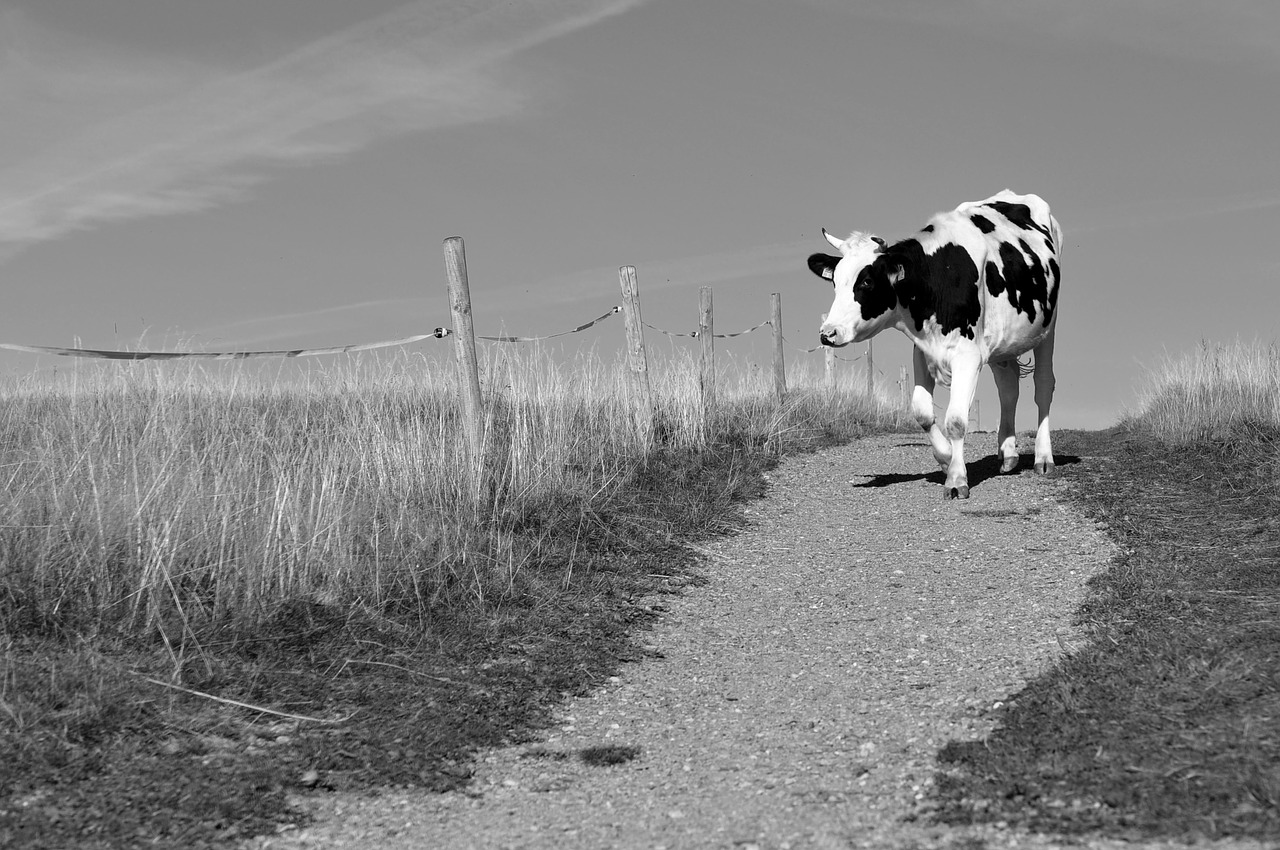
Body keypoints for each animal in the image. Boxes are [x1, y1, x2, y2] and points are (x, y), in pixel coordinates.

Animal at [808, 190, 1059, 499]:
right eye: (834, 282)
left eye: (866, 282)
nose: (828, 333)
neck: (936, 280)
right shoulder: (922, 351)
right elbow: (923, 412)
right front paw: (946, 458)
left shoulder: (967, 356)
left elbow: (956, 420)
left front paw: (956, 478)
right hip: (1003, 341)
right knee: (1008, 388)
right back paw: (1008, 453)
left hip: (1048, 327)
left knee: (1043, 386)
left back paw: (1043, 457)